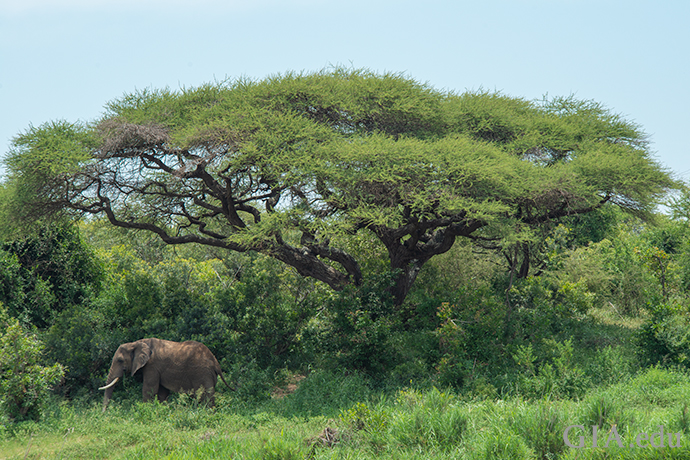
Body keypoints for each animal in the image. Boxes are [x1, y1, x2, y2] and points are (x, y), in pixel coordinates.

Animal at [99, 338, 232, 410]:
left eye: (120, 360)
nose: (103, 412)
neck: (136, 343)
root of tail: (215, 362)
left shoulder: (152, 366)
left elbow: (149, 388)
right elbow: (162, 391)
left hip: (202, 372)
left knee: (205, 394)